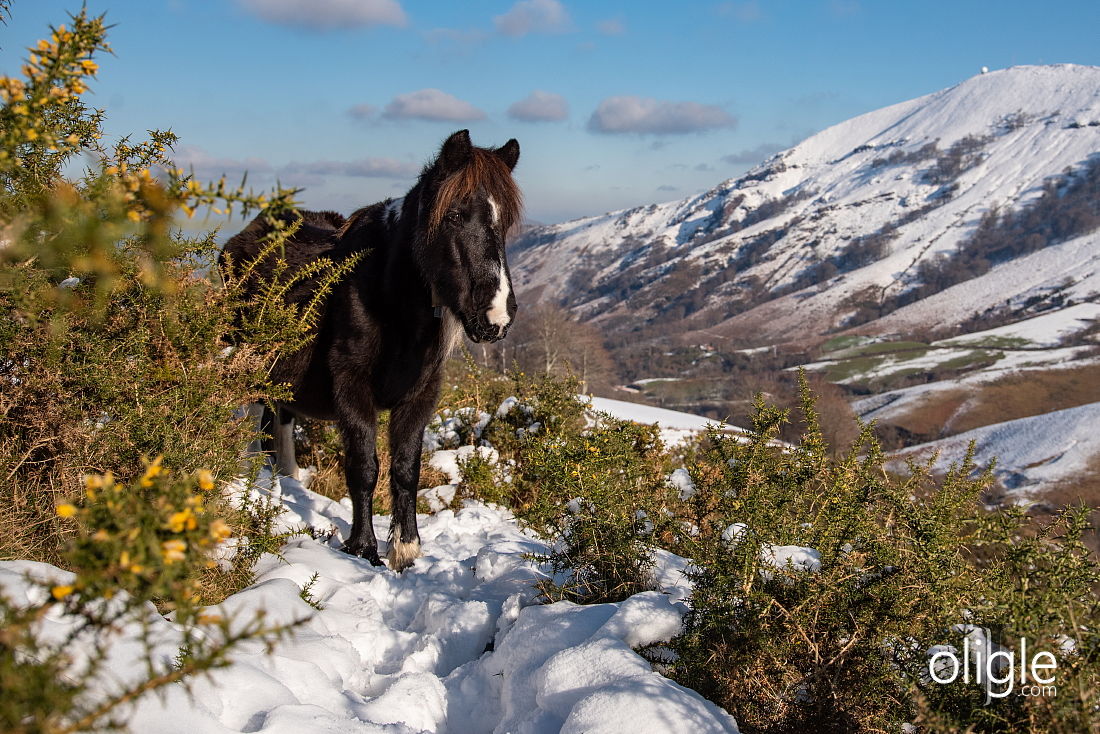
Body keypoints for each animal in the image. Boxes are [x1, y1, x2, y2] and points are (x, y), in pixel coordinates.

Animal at [221, 130, 521, 567]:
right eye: (454, 215)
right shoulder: (351, 387)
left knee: (279, 424)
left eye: (506, 224)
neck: (389, 300)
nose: (497, 315)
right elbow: (364, 466)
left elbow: (406, 469)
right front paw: (363, 548)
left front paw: (406, 548)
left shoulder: (420, 396)